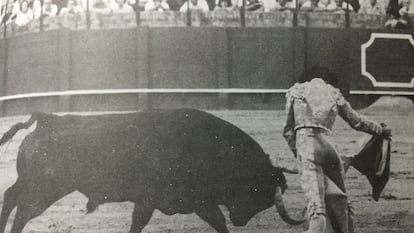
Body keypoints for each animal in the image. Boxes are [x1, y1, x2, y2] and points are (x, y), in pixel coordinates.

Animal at [0, 109, 304, 233]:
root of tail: (46, 120)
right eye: (259, 190)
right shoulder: (178, 200)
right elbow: (217, 221)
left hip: (36, 184)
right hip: (45, 189)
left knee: (11, 197)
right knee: (23, 209)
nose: (240, 219)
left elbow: (217, 222)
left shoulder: (182, 201)